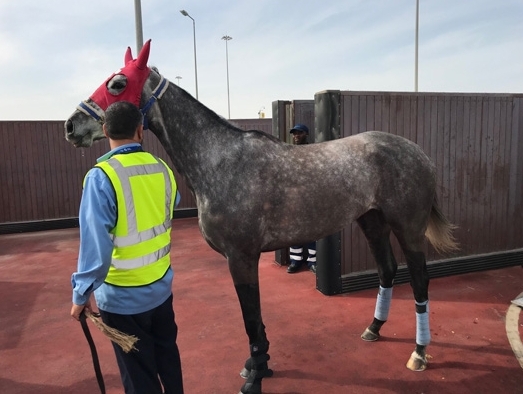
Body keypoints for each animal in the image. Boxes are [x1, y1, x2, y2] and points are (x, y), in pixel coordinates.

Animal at [65, 40, 458, 394]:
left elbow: (251, 319)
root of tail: (418, 152)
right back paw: (374, 329)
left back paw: (419, 353)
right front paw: (259, 365)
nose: (72, 126)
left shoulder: (241, 256)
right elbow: (253, 319)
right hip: (372, 221)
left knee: (419, 280)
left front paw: (255, 375)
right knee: (387, 270)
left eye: (118, 83)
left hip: (408, 227)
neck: (221, 161)